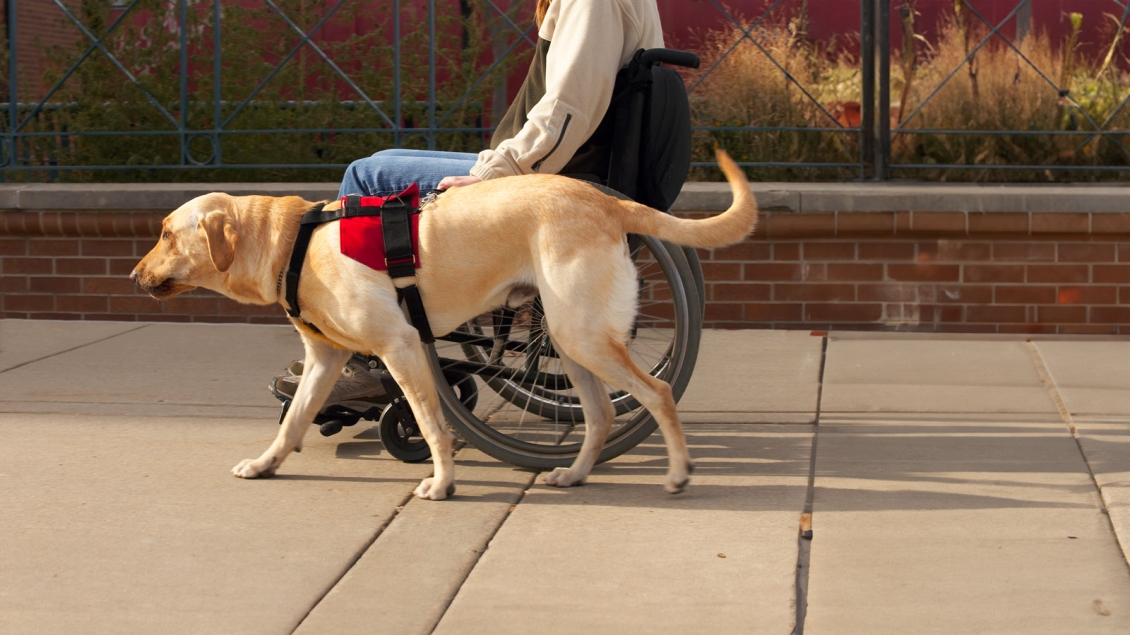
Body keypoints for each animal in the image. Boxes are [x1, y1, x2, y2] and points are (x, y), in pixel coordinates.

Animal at [132, 149, 759, 499]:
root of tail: (609, 202)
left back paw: (677, 474)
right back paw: (574, 474)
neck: (291, 244)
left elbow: (432, 424)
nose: (135, 275)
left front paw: (442, 481)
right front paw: (267, 464)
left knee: (656, 393)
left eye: (164, 233)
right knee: (602, 413)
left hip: (582, 335)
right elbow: (294, 423)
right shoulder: (325, 359)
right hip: (567, 338)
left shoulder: (402, 347)